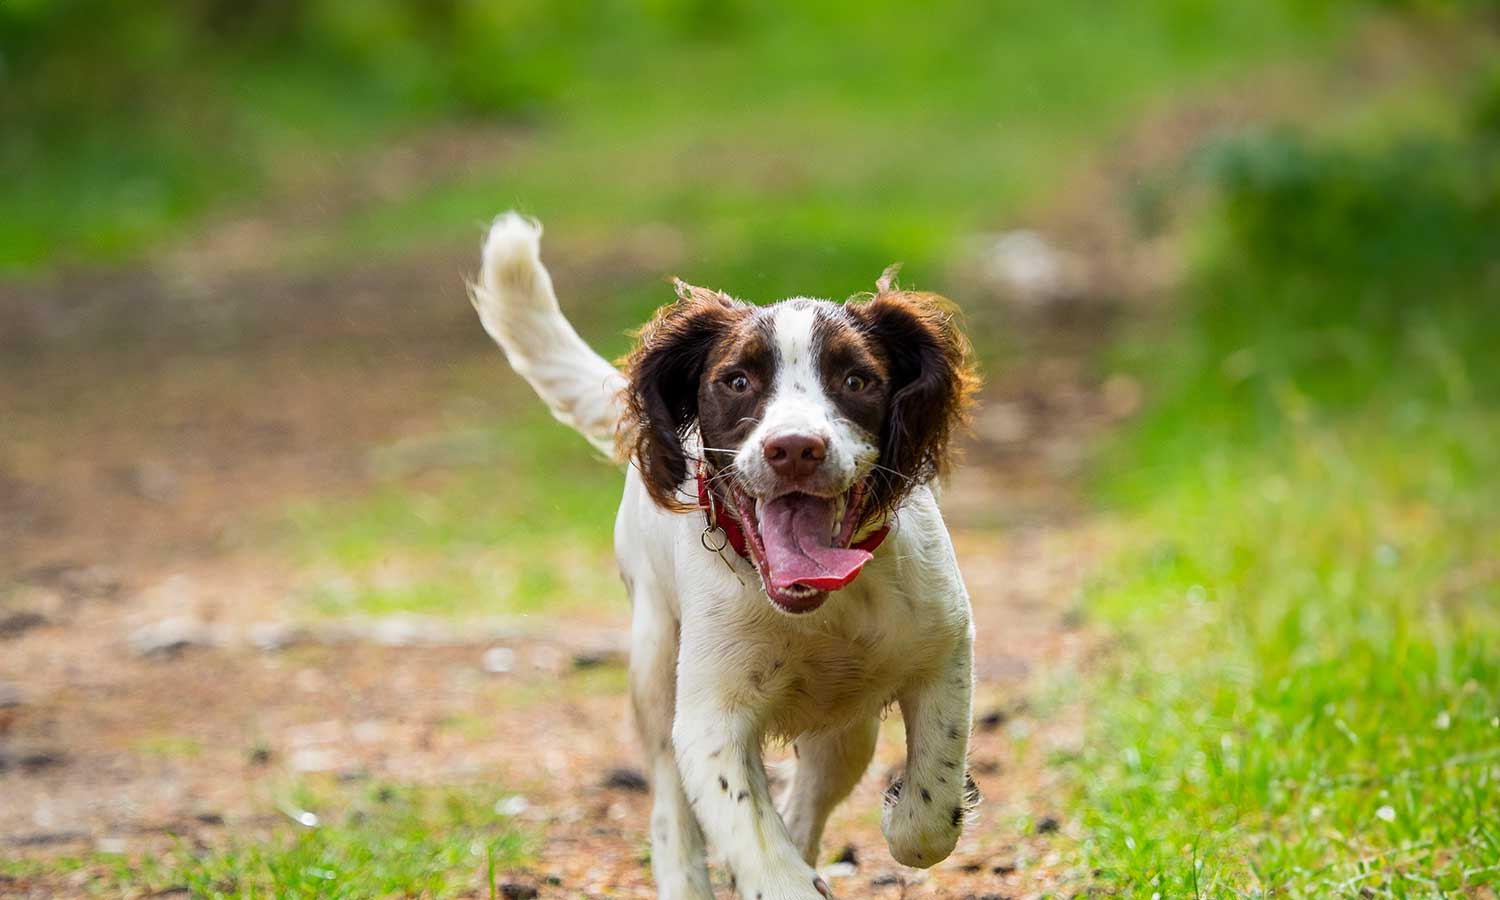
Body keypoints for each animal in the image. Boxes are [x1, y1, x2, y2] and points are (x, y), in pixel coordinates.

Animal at [471, 213, 984, 900]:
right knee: (670, 809)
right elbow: (759, 848)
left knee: (811, 797)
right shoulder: (710, 717)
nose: (794, 449)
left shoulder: (944, 645)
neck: (817, 606)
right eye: (737, 381)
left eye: (857, 381)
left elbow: (932, 807)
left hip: (846, 728)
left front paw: (901, 816)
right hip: (655, 666)